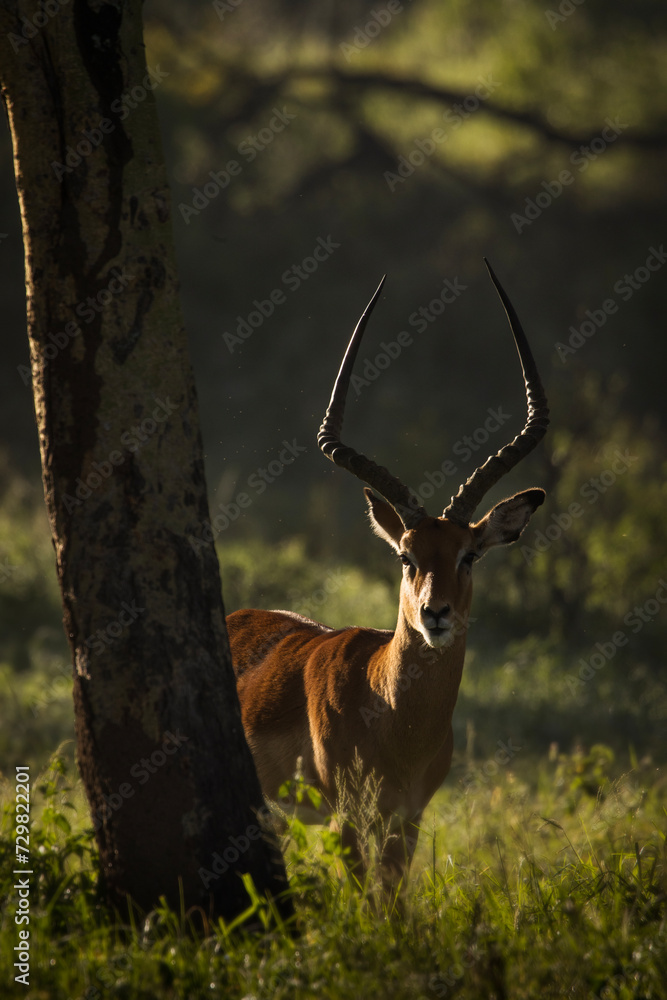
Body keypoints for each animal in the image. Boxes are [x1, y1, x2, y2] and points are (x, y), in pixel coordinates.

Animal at [227, 260, 549, 887]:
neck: (392, 716)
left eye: (469, 555)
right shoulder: (347, 818)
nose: (435, 613)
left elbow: (392, 898)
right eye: (406, 555)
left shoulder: (408, 818)